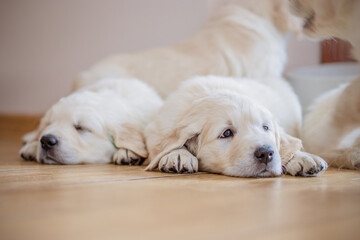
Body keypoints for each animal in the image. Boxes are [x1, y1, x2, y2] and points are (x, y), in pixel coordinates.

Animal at [145, 76, 328, 177]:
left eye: (265, 128)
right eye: (226, 133)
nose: (266, 153)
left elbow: (286, 145)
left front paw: (302, 157)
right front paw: (178, 155)